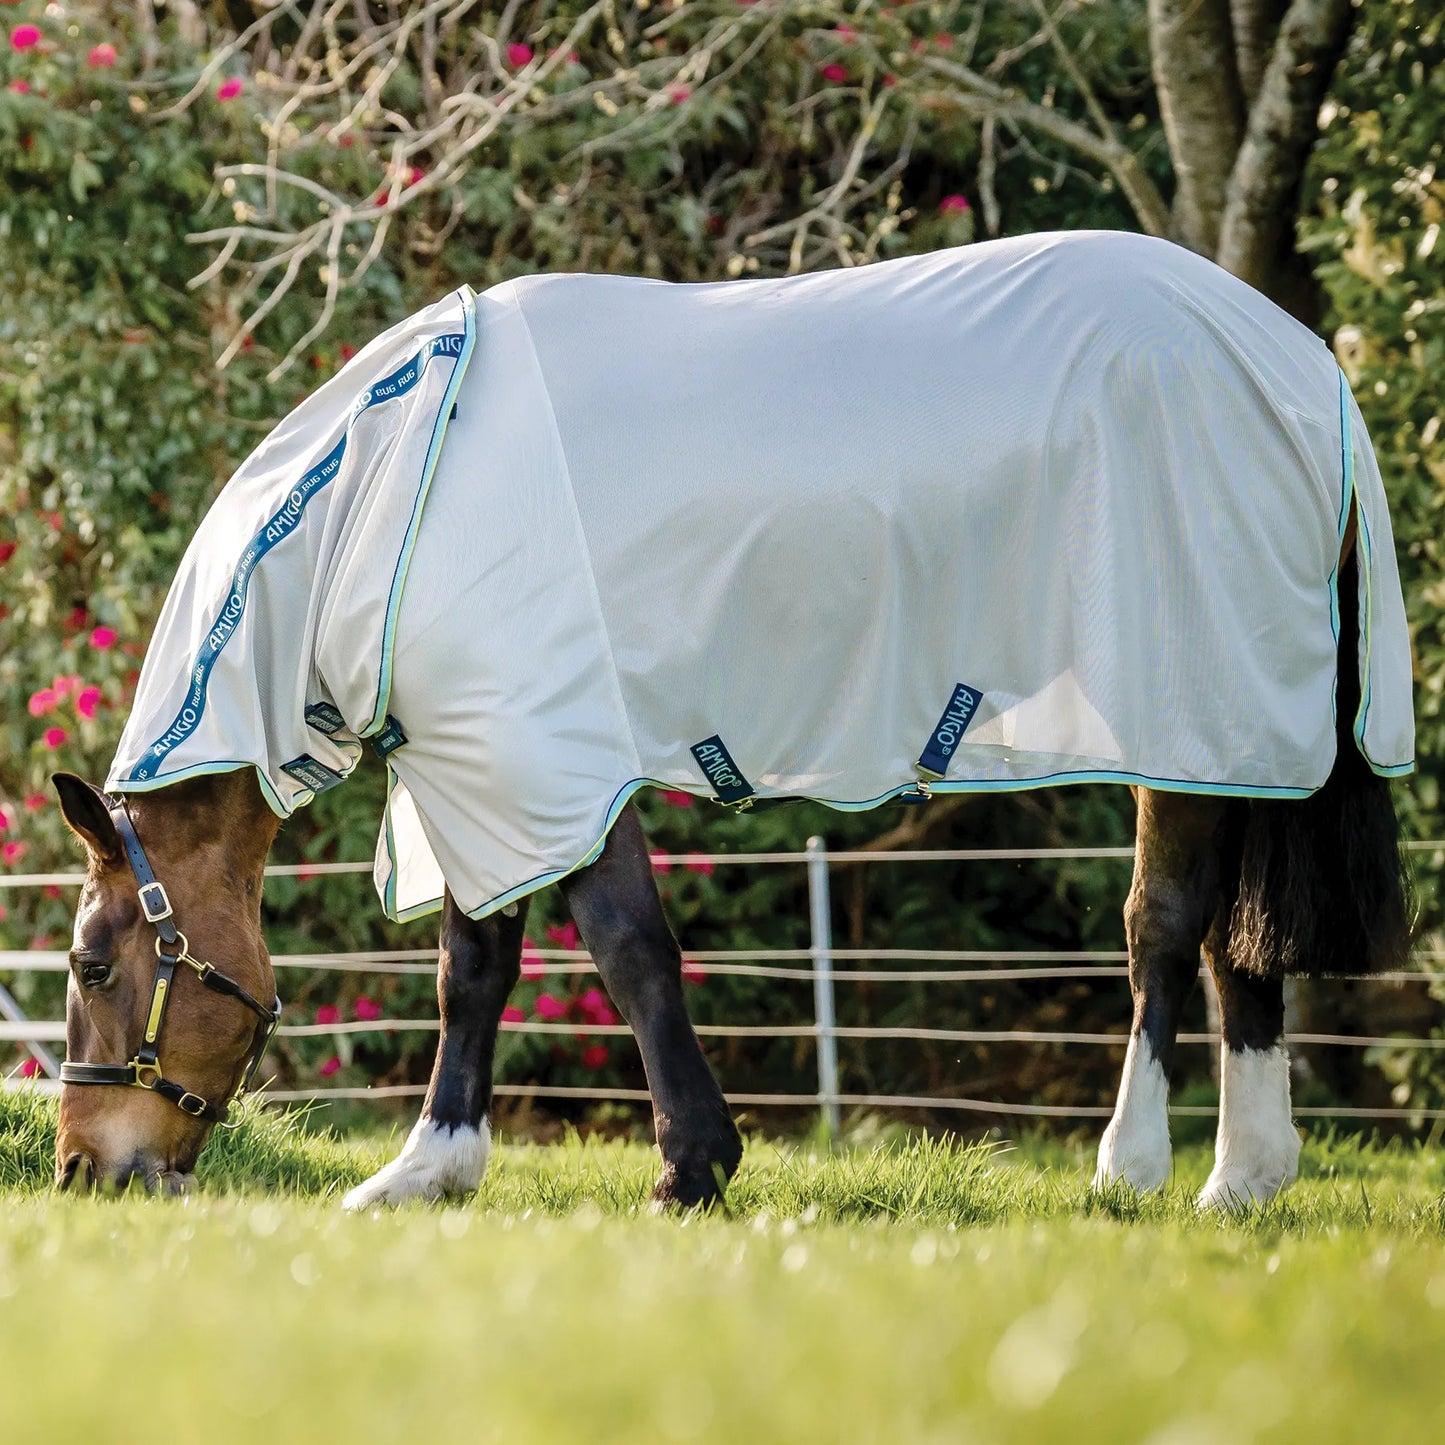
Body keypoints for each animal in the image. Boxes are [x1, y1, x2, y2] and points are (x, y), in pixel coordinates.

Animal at [48, 236, 1410, 1208]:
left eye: (92, 963)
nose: (79, 1166)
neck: (391, 497)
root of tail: (1301, 363)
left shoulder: (541, 755)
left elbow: (622, 950)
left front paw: (690, 1164)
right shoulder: (481, 770)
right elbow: (476, 967)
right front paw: (430, 1167)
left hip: (1185, 706)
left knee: (1162, 928)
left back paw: (1130, 1167)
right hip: (1235, 735)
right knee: (1237, 946)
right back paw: (1241, 1181)